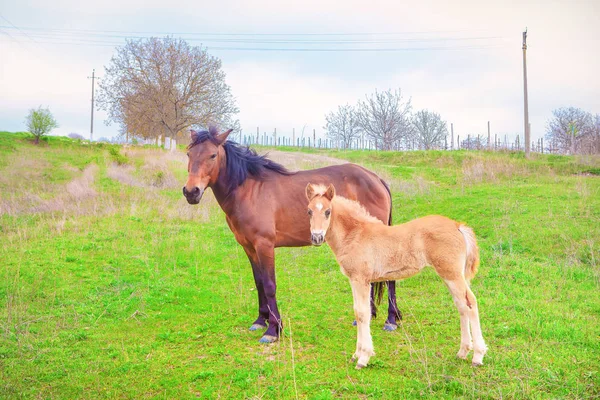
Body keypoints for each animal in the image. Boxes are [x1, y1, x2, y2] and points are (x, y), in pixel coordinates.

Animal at [180, 126, 400, 342]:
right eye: (189, 154)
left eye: (213, 155)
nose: (191, 192)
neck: (250, 191)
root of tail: (376, 179)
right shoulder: (249, 247)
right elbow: (258, 282)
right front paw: (260, 320)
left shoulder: (265, 245)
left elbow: (269, 285)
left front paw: (273, 330)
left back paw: (391, 320)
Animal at [304, 184, 488, 368]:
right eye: (309, 211)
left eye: (328, 211)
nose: (317, 237)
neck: (355, 234)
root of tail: (458, 226)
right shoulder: (353, 280)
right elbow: (357, 312)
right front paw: (356, 354)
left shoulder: (361, 279)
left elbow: (363, 313)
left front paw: (364, 358)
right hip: (450, 275)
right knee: (461, 305)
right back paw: (463, 352)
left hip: (452, 274)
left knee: (470, 303)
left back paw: (477, 356)